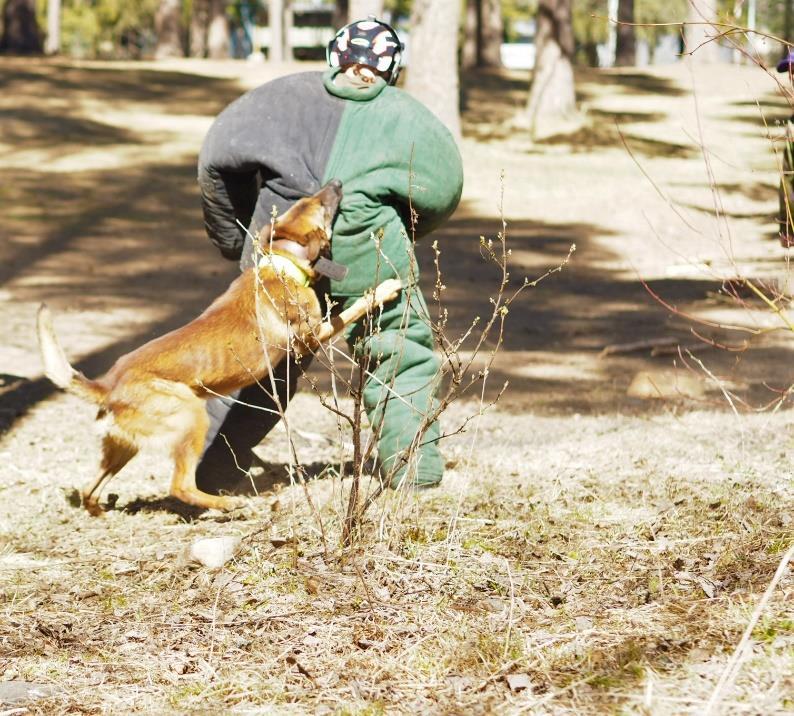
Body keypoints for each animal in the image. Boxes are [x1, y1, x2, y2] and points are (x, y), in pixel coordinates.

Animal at [35, 180, 402, 516]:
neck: (282, 264)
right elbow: (353, 309)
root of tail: (108, 385)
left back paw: (104, 511)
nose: (337, 183)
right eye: (321, 207)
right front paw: (384, 288)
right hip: (190, 417)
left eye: (307, 201)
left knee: (90, 490)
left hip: (123, 447)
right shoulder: (313, 336)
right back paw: (227, 504)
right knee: (180, 485)